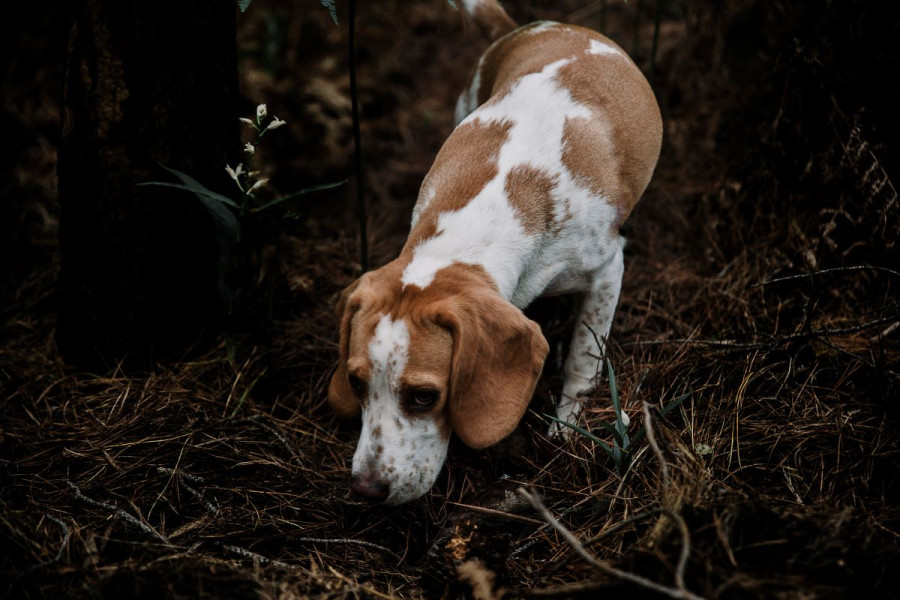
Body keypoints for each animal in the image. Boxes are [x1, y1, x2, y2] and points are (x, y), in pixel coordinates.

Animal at [328, 0, 660, 504]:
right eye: (355, 382)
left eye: (423, 396)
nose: (365, 489)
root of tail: (533, 27)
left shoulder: (607, 268)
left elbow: (584, 355)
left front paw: (567, 427)